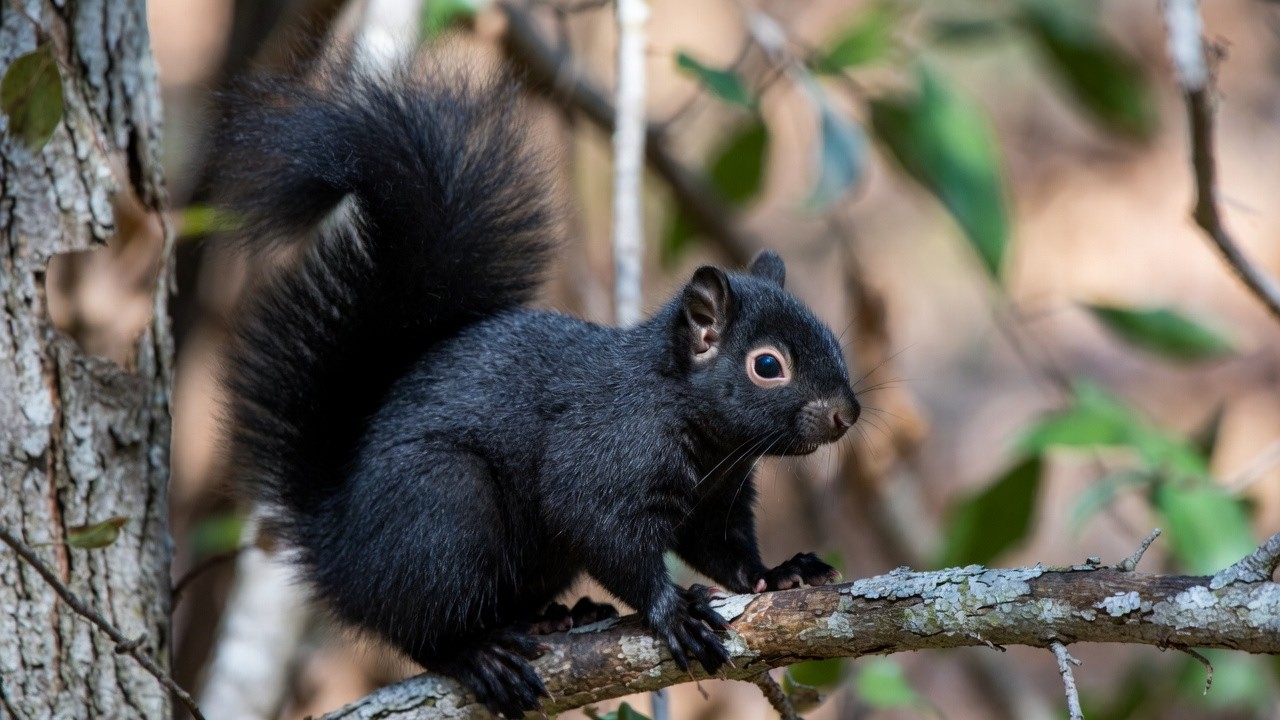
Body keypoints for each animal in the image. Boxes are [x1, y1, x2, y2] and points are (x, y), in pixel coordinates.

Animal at [212, 52, 860, 718]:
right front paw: (673, 611)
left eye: (832, 338)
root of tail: (338, 549)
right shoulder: (602, 456)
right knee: (420, 630)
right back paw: (479, 654)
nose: (846, 414)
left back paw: (557, 616)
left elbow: (724, 552)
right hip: (442, 511)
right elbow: (606, 535)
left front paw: (778, 574)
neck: (698, 431)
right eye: (767, 366)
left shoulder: (717, 498)